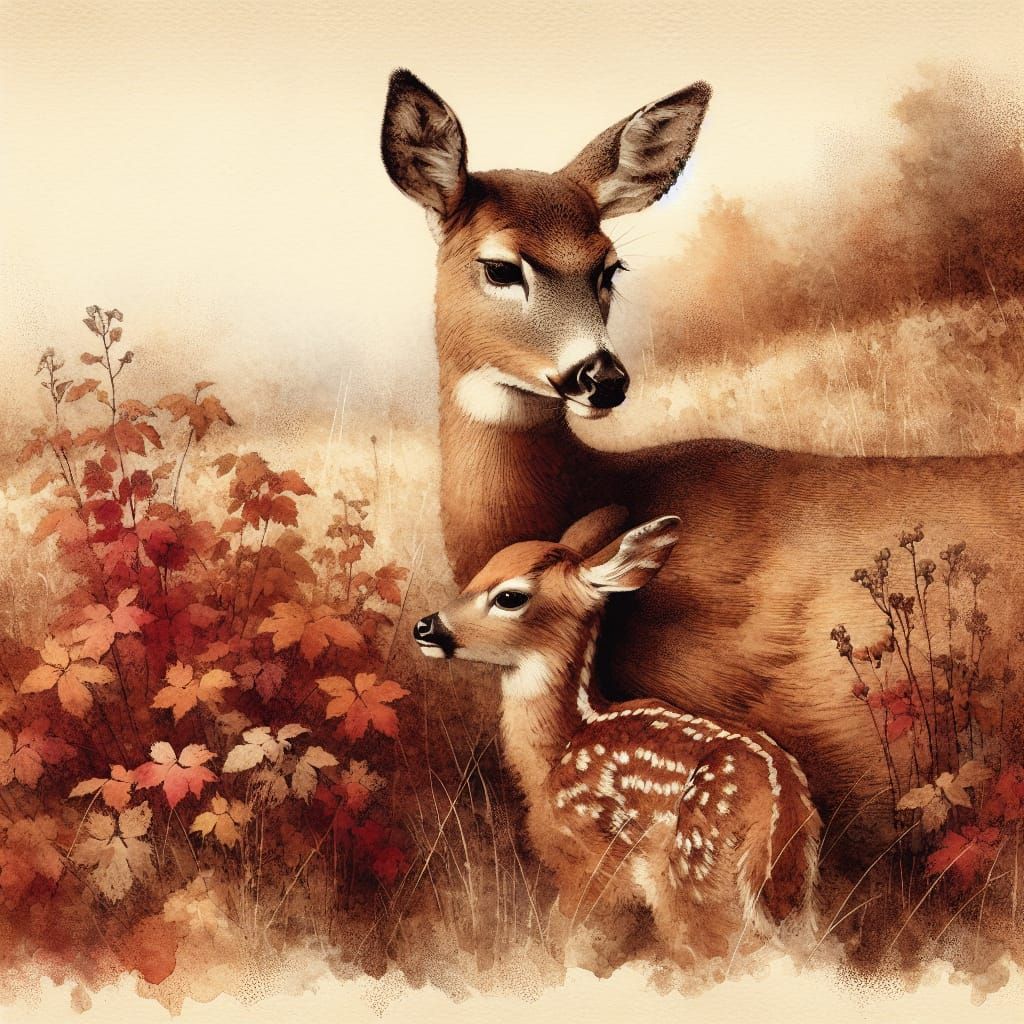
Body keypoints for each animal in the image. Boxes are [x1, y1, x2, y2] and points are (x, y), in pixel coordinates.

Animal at [413, 509, 821, 963]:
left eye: (509, 597)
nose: (425, 627)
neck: (559, 749)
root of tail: (780, 805)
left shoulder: (592, 860)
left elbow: (569, 940)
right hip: (789, 896)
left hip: (694, 871)